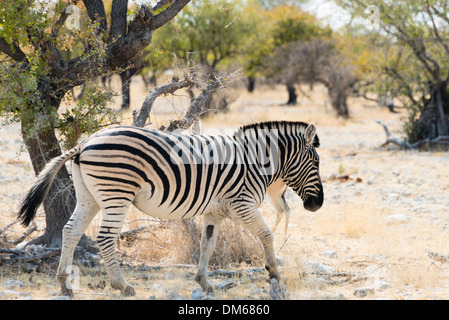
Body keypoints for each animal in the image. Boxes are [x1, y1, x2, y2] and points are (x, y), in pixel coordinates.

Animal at [17, 120, 322, 298]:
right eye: (316, 163)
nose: (317, 204)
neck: (256, 162)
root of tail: (84, 143)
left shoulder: (214, 212)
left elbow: (207, 245)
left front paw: (204, 283)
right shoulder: (242, 203)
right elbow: (267, 235)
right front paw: (274, 275)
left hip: (88, 196)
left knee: (71, 231)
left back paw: (65, 284)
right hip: (117, 193)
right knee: (105, 238)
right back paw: (122, 286)